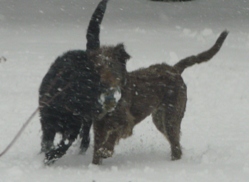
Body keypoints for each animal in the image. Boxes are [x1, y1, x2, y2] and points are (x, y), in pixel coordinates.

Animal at [39, 0, 130, 165]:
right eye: (92, 90)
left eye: (102, 89)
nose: (106, 108)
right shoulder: (47, 122)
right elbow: (47, 141)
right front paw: (46, 154)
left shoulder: (74, 127)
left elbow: (64, 144)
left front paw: (51, 156)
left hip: (85, 121)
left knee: (86, 132)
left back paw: (82, 148)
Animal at [92, 30, 229, 164]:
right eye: (97, 67)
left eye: (111, 65)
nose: (103, 84)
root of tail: (174, 69)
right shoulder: (98, 125)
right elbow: (97, 145)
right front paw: (95, 164)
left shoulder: (126, 122)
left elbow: (114, 134)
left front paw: (105, 150)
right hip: (159, 118)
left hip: (171, 116)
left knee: (175, 144)